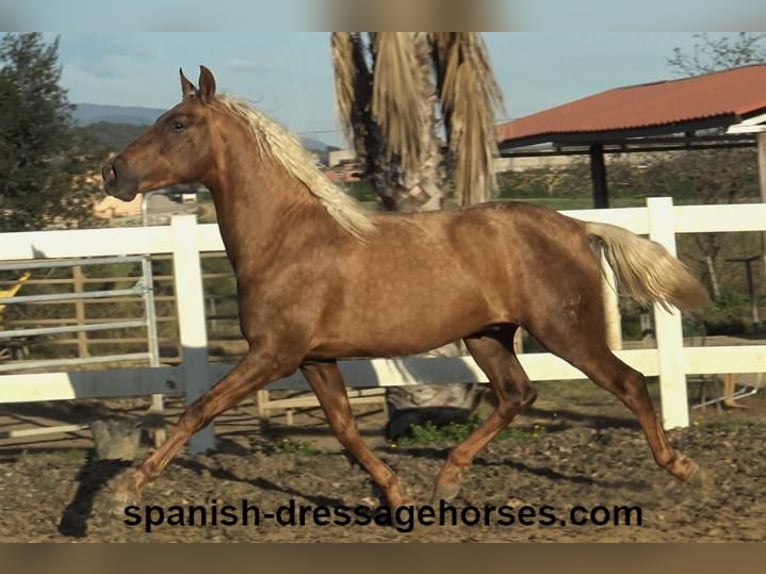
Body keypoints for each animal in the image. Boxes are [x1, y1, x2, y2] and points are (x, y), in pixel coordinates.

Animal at [102, 67, 708, 512]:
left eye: (178, 124)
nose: (113, 173)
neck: (286, 238)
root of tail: (577, 226)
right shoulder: (313, 358)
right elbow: (345, 430)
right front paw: (396, 495)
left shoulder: (273, 354)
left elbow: (198, 409)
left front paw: (123, 490)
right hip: (489, 336)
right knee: (517, 394)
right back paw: (447, 480)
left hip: (565, 331)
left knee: (628, 382)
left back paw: (681, 467)